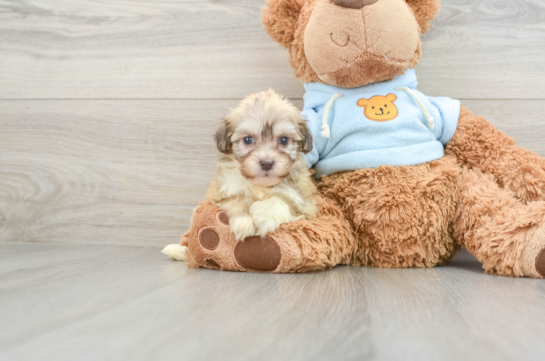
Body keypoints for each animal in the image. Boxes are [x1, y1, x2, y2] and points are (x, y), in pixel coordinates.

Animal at [208, 88, 318, 239]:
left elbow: (284, 202)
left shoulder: (307, 207)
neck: (261, 186)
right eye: (248, 140)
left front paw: (263, 213)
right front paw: (244, 221)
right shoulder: (220, 193)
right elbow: (236, 198)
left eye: (283, 140)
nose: (266, 163)